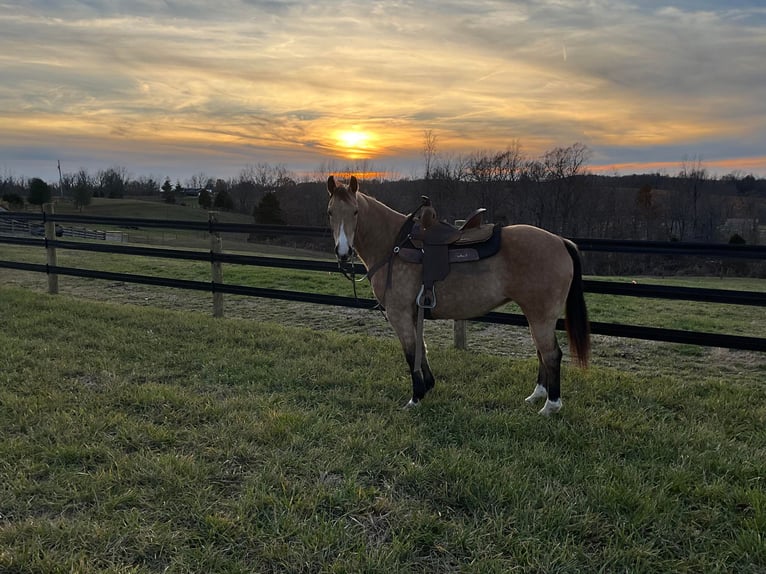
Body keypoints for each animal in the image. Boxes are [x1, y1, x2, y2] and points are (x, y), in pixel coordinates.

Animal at [328, 173, 592, 416]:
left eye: (355, 212)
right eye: (331, 212)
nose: (343, 252)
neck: (394, 245)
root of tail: (561, 241)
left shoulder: (399, 313)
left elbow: (411, 352)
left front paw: (416, 397)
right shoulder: (413, 313)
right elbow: (422, 349)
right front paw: (428, 386)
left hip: (541, 315)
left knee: (551, 354)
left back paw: (551, 406)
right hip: (535, 315)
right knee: (541, 353)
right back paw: (537, 395)